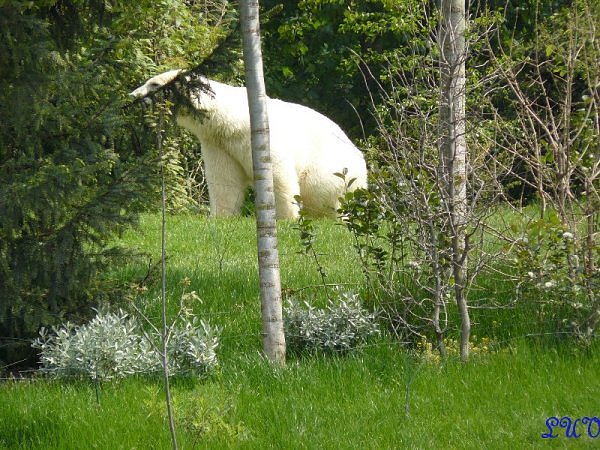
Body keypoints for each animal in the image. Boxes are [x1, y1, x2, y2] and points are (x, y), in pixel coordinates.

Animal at [130, 69, 367, 218]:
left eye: (154, 83)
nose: (133, 95)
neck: (231, 118)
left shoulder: (256, 136)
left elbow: (277, 175)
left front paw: (285, 217)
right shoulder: (218, 143)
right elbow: (224, 181)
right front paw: (221, 217)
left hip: (331, 169)